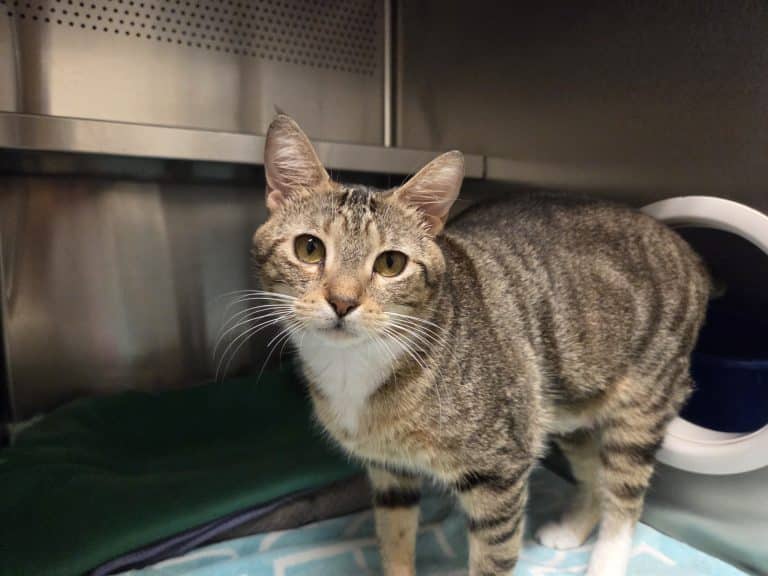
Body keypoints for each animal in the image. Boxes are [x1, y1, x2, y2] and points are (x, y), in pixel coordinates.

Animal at [251, 114, 711, 576]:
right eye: (309, 247)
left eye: (390, 263)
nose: (343, 301)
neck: (356, 370)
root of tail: (690, 254)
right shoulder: (389, 470)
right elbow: (395, 538)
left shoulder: (500, 471)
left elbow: (493, 555)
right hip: (558, 402)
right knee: (592, 472)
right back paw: (573, 528)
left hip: (641, 404)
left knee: (623, 495)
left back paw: (606, 559)